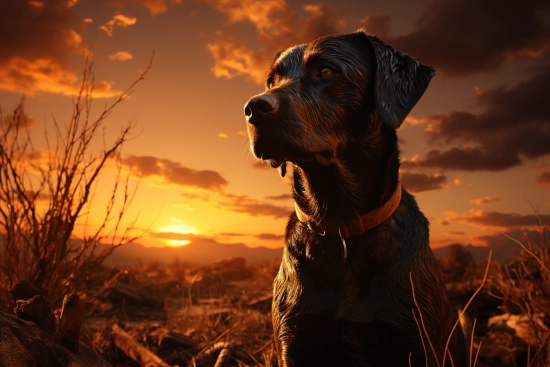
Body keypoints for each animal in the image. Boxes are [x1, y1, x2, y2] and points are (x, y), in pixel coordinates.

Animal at [244, 29, 468, 367]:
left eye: (327, 71)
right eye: (272, 80)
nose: (253, 108)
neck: (340, 224)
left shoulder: (420, 340)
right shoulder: (292, 339)